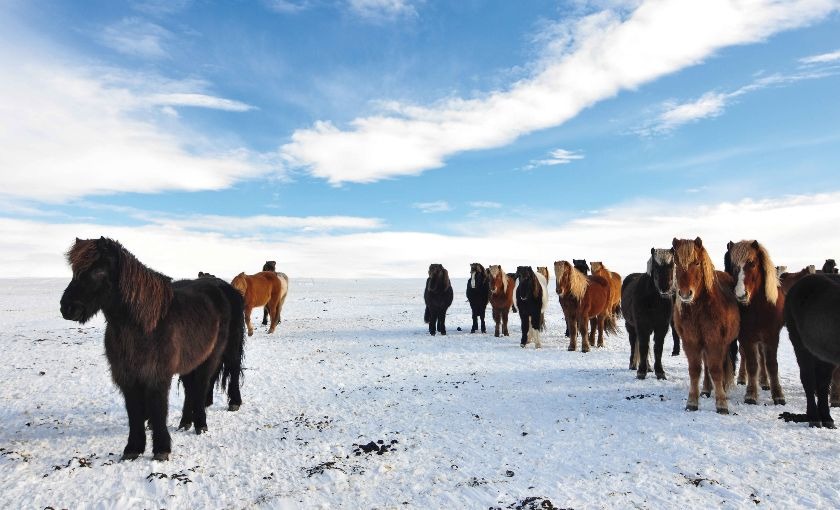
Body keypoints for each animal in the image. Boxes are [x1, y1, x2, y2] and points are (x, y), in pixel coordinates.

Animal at [59, 237, 244, 461]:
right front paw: (133, 448)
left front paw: (161, 449)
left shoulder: (157, 375)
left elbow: (158, 409)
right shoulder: (127, 376)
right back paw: (186, 422)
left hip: (219, 353)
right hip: (191, 359)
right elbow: (134, 412)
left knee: (213, 380)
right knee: (192, 388)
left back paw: (208, 419)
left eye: (98, 271)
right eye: (74, 270)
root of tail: (222, 287)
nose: (67, 308)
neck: (144, 325)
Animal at [621, 248, 676, 380]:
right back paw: (633, 365)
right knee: (633, 343)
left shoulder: (661, 327)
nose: (665, 289)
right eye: (656, 266)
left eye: (672, 265)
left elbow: (658, 348)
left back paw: (649, 367)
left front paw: (659, 372)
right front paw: (641, 371)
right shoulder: (642, 326)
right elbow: (643, 347)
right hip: (631, 326)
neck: (653, 300)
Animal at [671, 237, 740, 414]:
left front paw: (721, 403)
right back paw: (706, 390)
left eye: (696, 262)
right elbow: (695, 370)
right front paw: (692, 402)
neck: (700, 310)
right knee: (707, 365)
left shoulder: (715, 341)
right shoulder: (691, 342)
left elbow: (716, 369)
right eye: (676, 262)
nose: (685, 294)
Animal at [726, 240, 786, 405]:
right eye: (733, 265)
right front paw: (751, 394)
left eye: (752, 263)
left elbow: (771, 364)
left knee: (763, 358)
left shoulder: (772, 336)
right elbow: (752, 365)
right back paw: (742, 378)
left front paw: (778, 395)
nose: (740, 295)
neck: (759, 307)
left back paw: (765, 382)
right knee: (746, 356)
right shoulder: (747, 337)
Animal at [782, 273, 840, 428]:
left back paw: (827, 419)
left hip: (823, 355)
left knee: (823, 383)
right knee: (808, 379)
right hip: (801, 346)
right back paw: (814, 418)